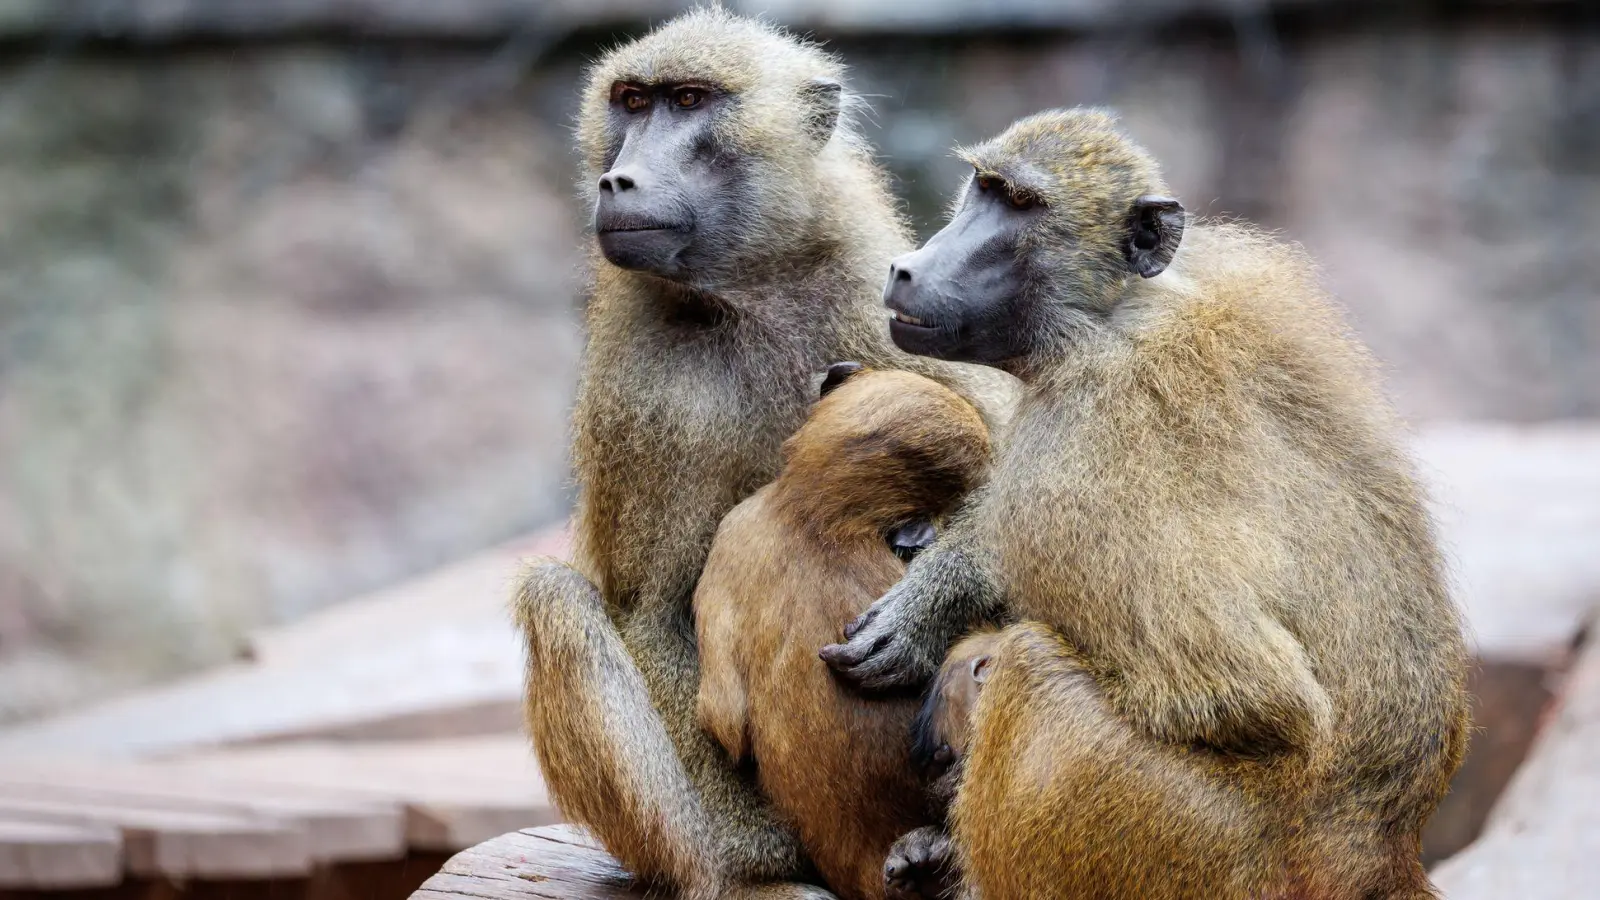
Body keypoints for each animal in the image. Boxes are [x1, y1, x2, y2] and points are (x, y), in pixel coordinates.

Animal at [821, 108, 1471, 899]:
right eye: (982, 188)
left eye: (1023, 205)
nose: (908, 267)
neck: (1109, 316)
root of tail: (1380, 855)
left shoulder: (1079, 448)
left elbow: (1252, 696)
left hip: (1201, 846)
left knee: (1030, 672)